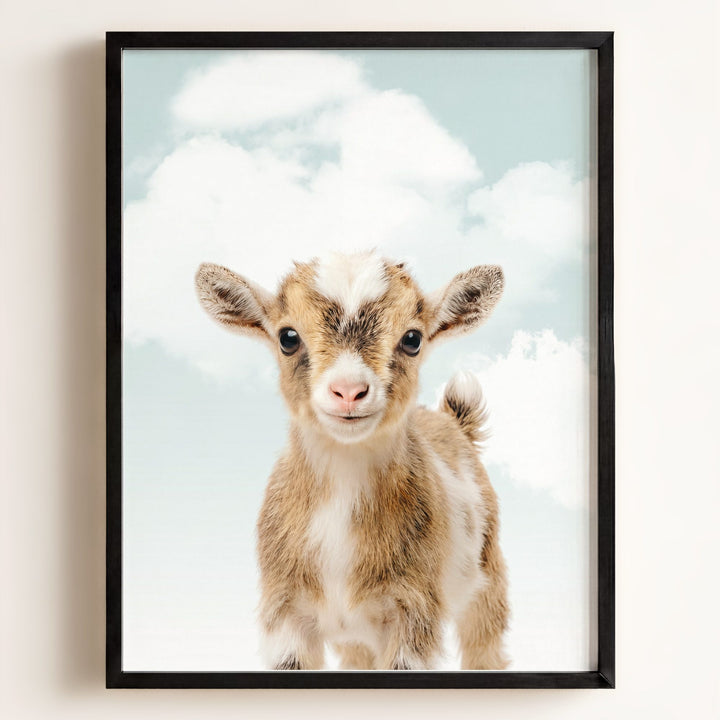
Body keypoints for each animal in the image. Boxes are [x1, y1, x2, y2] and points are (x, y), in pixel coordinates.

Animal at [195, 251, 509, 670]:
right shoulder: (285, 612)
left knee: (485, 645)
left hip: (488, 577)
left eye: (413, 339)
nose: (348, 391)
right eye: (287, 337)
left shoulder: (413, 611)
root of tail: (453, 420)